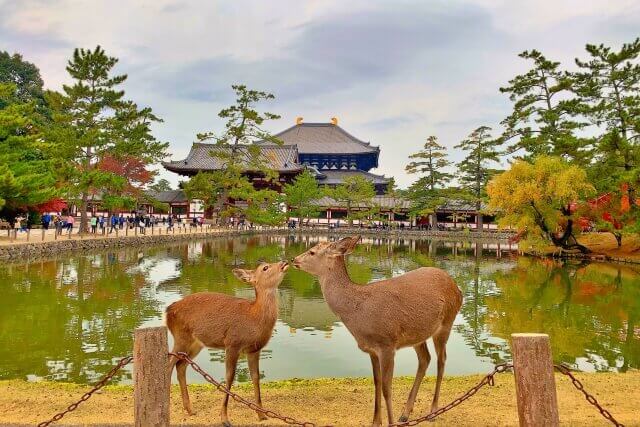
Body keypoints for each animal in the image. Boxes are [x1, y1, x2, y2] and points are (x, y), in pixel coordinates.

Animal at [166, 260, 289, 427]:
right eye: (265, 267)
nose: (284, 262)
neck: (254, 318)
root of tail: (167, 311)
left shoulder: (254, 350)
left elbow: (256, 377)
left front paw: (262, 415)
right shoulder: (232, 343)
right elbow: (229, 377)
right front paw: (224, 418)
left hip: (195, 344)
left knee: (181, 365)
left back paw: (190, 410)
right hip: (180, 337)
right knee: (169, 364)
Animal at [293, 236, 462, 426]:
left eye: (312, 251)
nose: (294, 260)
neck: (359, 313)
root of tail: (458, 289)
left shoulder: (387, 344)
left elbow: (387, 387)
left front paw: (390, 422)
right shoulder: (372, 349)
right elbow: (377, 382)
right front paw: (376, 421)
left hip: (447, 322)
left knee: (442, 360)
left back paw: (433, 411)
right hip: (418, 335)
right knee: (425, 359)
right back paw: (405, 414)